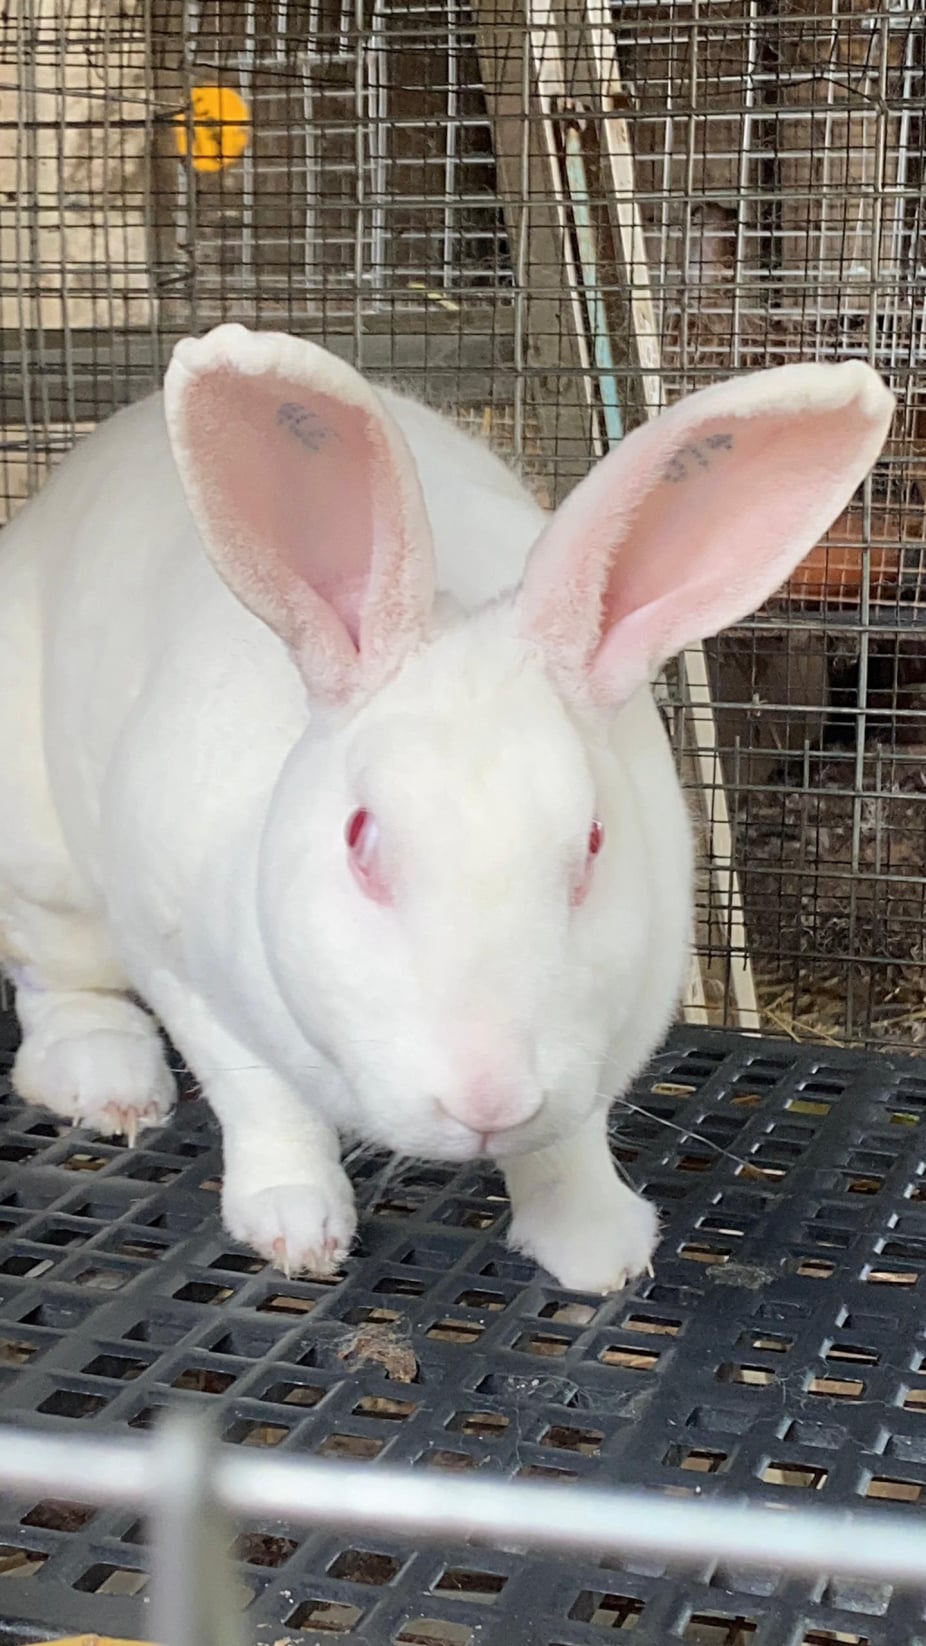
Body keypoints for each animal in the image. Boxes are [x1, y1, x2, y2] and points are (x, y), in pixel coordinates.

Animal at [0, 324, 894, 1293]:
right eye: (359, 838)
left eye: (593, 842)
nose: (488, 1098)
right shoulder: (181, 965)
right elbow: (266, 1101)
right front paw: (296, 1230)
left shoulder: (594, 1056)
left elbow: (567, 1146)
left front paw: (600, 1250)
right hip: (45, 877)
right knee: (60, 984)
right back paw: (111, 1082)